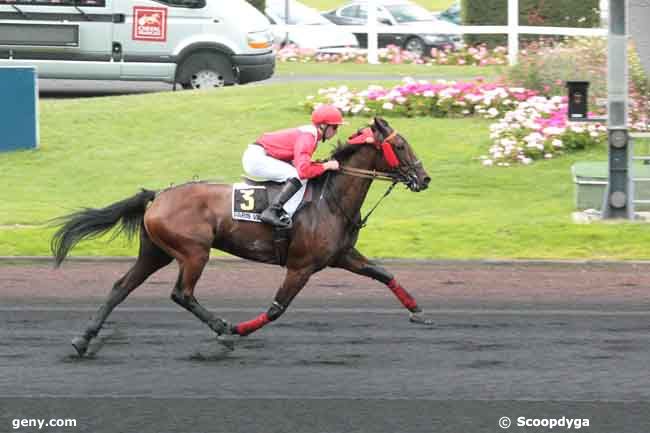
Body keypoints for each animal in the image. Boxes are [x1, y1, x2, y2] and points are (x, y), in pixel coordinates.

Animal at [50, 116, 430, 356]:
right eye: (401, 145)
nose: (424, 179)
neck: (330, 199)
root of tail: (158, 195)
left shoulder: (341, 256)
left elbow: (384, 274)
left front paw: (418, 311)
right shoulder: (301, 266)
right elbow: (277, 309)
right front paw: (239, 330)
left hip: (156, 252)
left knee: (121, 287)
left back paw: (84, 340)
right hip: (194, 252)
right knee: (181, 293)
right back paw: (222, 327)